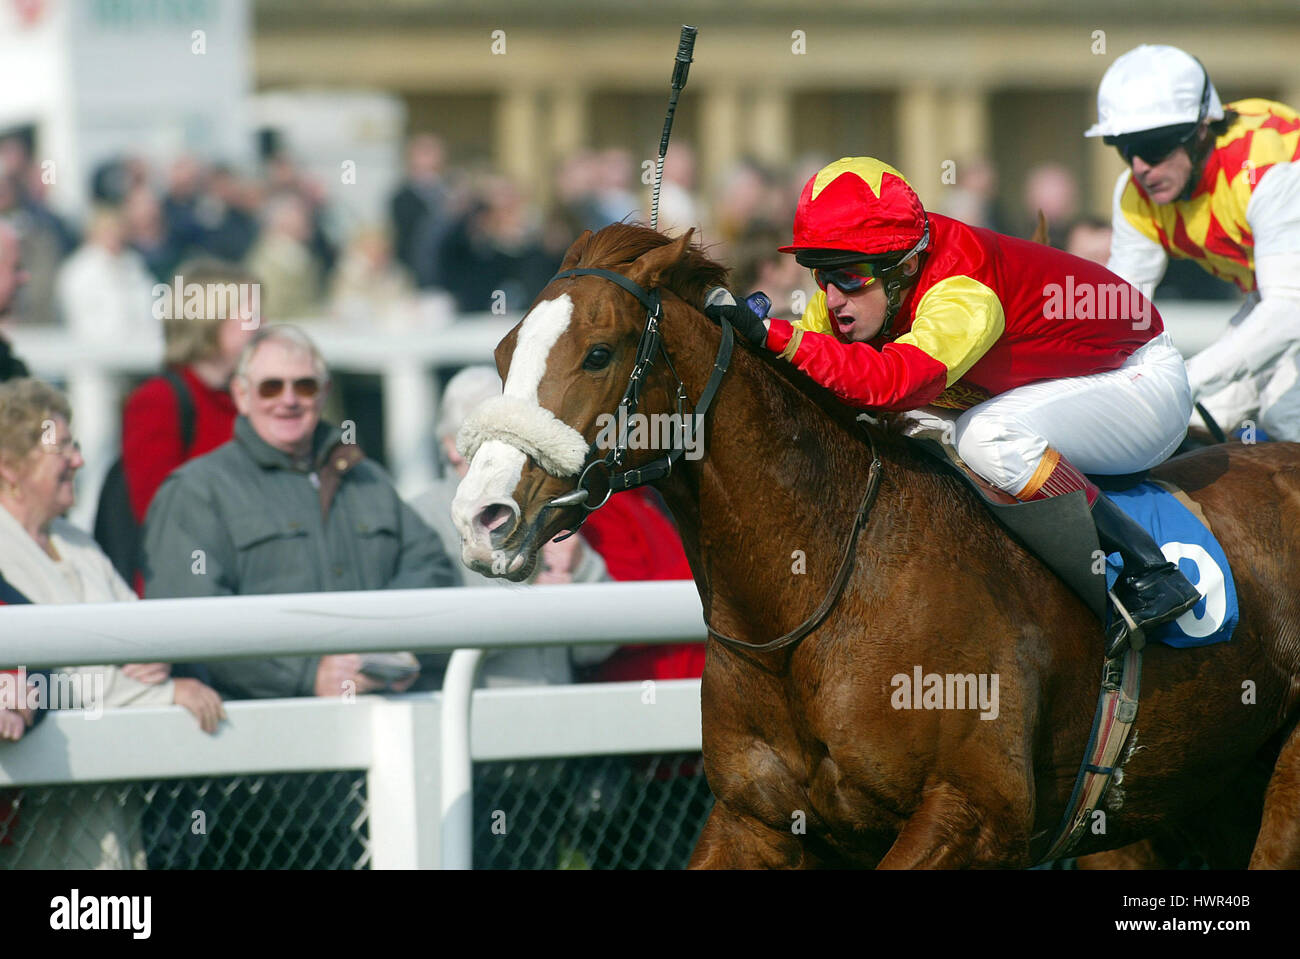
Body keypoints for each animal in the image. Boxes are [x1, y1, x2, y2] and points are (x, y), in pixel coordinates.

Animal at [452, 223, 1300, 868]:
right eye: (500, 355)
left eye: (598, 352)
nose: (480, 516)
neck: (816, 593)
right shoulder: (753, 819)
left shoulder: (973, 813)